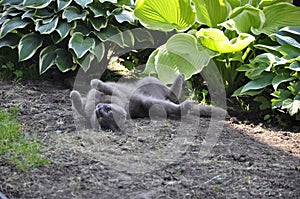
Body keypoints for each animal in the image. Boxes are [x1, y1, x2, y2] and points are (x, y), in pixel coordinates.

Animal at [69, 74, 226, 131]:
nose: (99, 108)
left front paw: (92, 84)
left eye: (107, 111)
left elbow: (104, 88)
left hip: (148, 81)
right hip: (150, 101)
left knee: (171, 93)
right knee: (173, 102)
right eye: (103, 117)